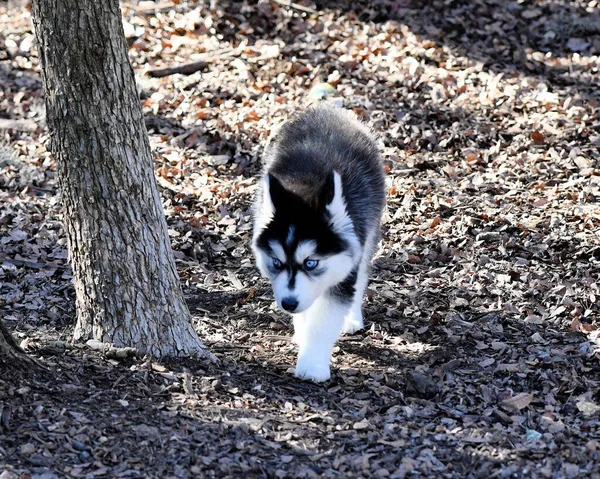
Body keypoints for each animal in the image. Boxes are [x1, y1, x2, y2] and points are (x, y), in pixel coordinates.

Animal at [252, 106, 384, 382]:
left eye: (311, 263)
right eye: (276, 262)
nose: (288, 304)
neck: (305, 191)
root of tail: (327, 109)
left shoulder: (345, 264)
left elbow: (324, 322)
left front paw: (312, 365)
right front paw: (303, 333)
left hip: (368, 230)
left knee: (362, 273)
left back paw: (352, 317)